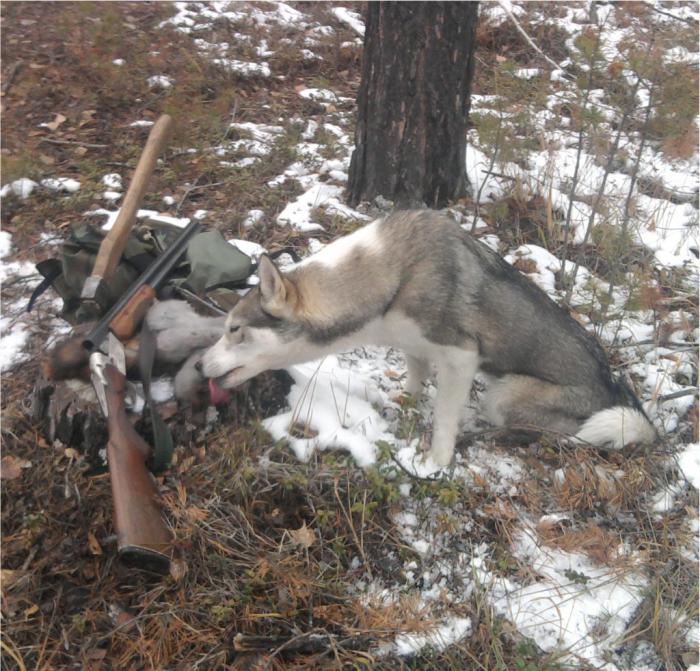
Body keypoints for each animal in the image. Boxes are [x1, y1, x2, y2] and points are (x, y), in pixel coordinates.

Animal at [165, 210, 656, 468]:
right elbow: (416, 381)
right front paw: (405, 403)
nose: (197, 367)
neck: (388, 276)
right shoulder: (414, 345)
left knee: (551, 431)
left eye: (234, 329)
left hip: (506, 396)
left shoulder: (461, 357)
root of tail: (619, 394)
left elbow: (442, 419)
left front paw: (436, 463)